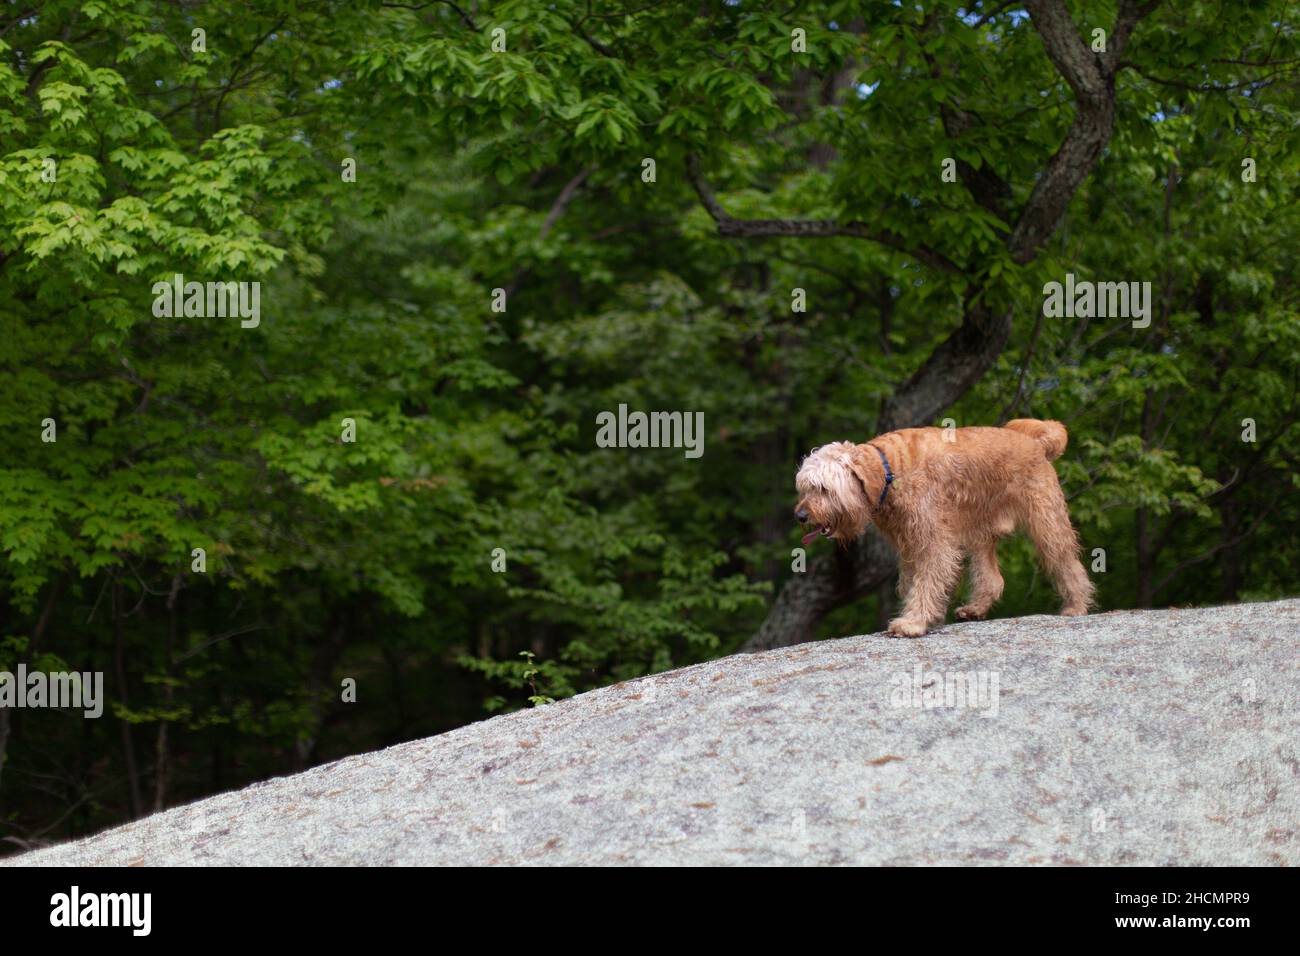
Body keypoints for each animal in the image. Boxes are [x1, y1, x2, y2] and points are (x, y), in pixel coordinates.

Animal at [795, 418, 1092, 634]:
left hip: (1047, 523)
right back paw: (974, 609)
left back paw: (1076, 606)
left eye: (822, 488)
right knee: (992, 580)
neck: (888, 471)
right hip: (979, 534)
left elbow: (927, 581)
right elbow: (913, 582)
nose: (800, 515)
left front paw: (912, 622)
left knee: (1068, 564)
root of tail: (1035, 442)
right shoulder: (910, 546)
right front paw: (928, 617)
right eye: (804, 488)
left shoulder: (933, 542)